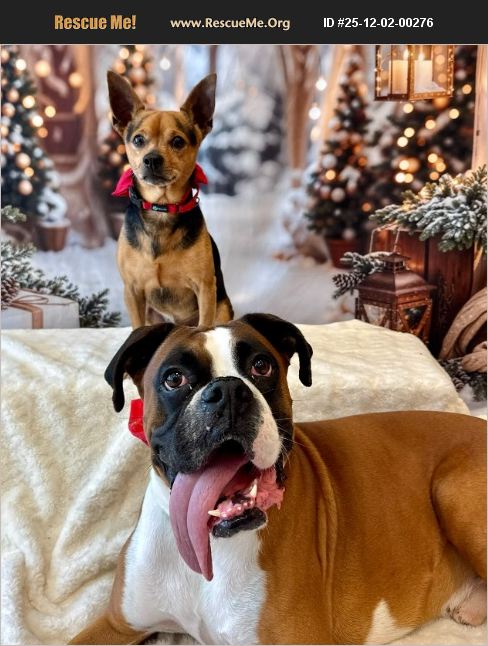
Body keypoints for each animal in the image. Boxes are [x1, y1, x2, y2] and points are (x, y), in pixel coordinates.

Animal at [69, 314, 486, 644]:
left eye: (261, 366)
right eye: (174, 378)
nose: (229, 390)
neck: (211, 545)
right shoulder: (116, 624)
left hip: (453, 491)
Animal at [107, 70, 233, 328]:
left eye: (177, 141)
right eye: (138, 140)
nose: (151, 159)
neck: (161, 208)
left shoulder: (206, 289)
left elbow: (205, 327)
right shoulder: (132, 291)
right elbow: (137, 326)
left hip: (223, 308)